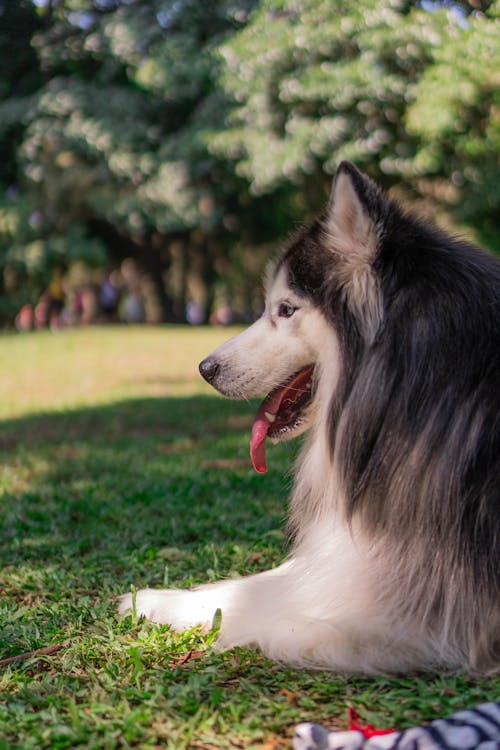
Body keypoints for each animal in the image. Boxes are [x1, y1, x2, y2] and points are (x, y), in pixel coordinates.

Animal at [121, 163, 500, 676]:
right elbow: (264, 583)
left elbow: (285, 616)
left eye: (285, 309)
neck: (427, 379)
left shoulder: (438, 600)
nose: (205, 368)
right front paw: (156, 600)